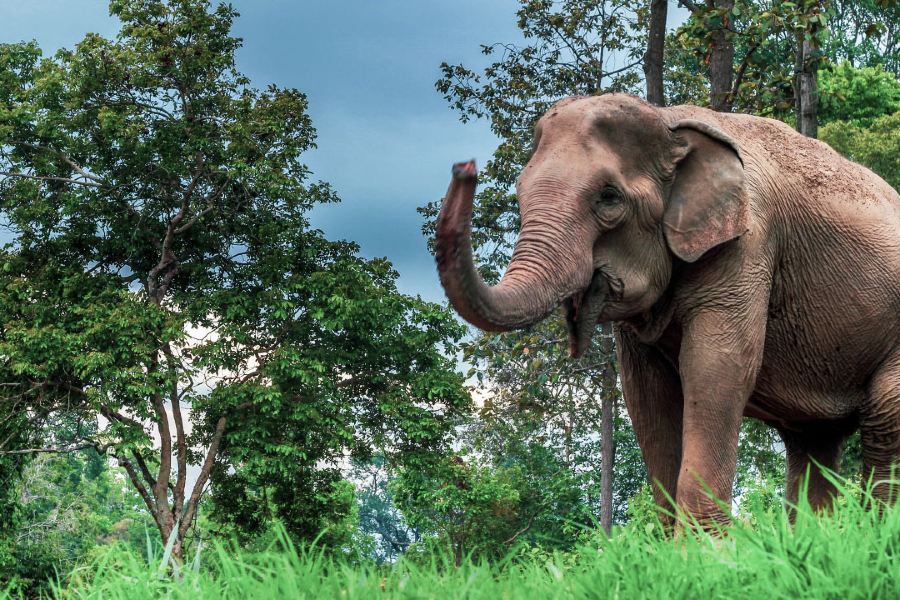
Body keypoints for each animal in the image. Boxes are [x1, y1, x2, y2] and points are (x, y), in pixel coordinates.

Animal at [435, 93, 900, 525]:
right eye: (520, 192)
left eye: (608, 197)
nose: (464, 168)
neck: (668, 120)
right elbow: (645, 390)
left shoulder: (748, 243)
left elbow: (717, 366)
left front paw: (703, 549)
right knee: (814, 442)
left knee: (883, 414)